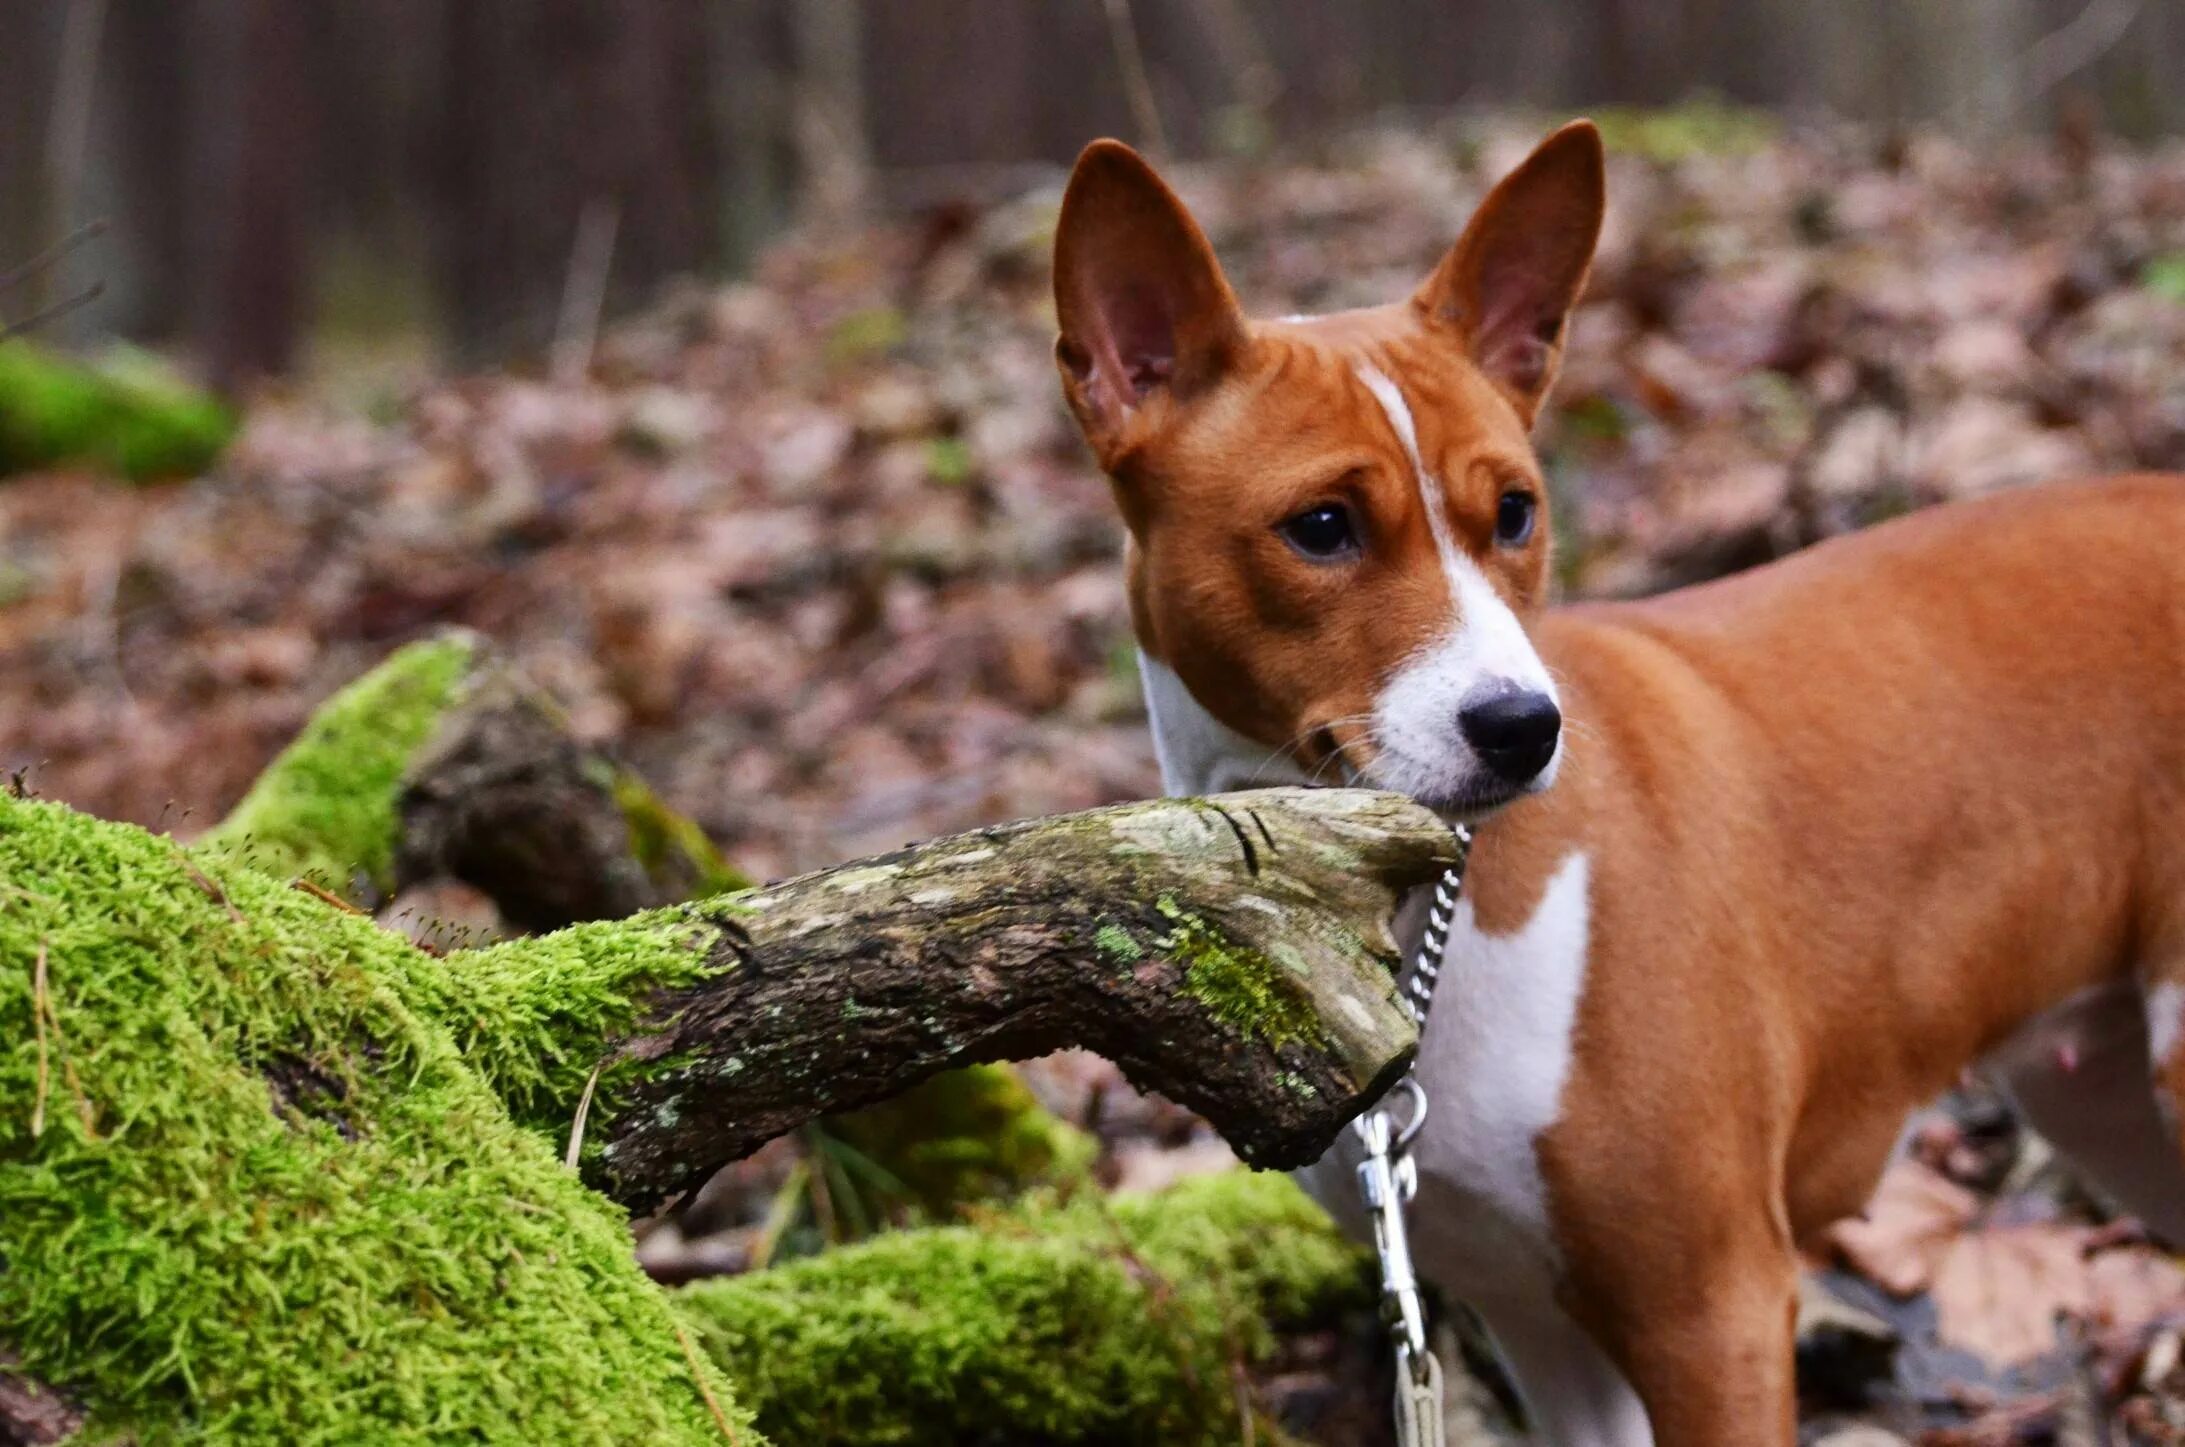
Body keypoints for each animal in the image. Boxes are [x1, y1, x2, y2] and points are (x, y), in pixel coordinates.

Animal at [1048, 124, 2176, 1447]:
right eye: (1320, 527)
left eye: (1515, 512)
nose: (1521, 729)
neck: (1417, 916)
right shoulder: (1533, 1316)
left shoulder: (1714, 1303)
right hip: (2115, 1105)